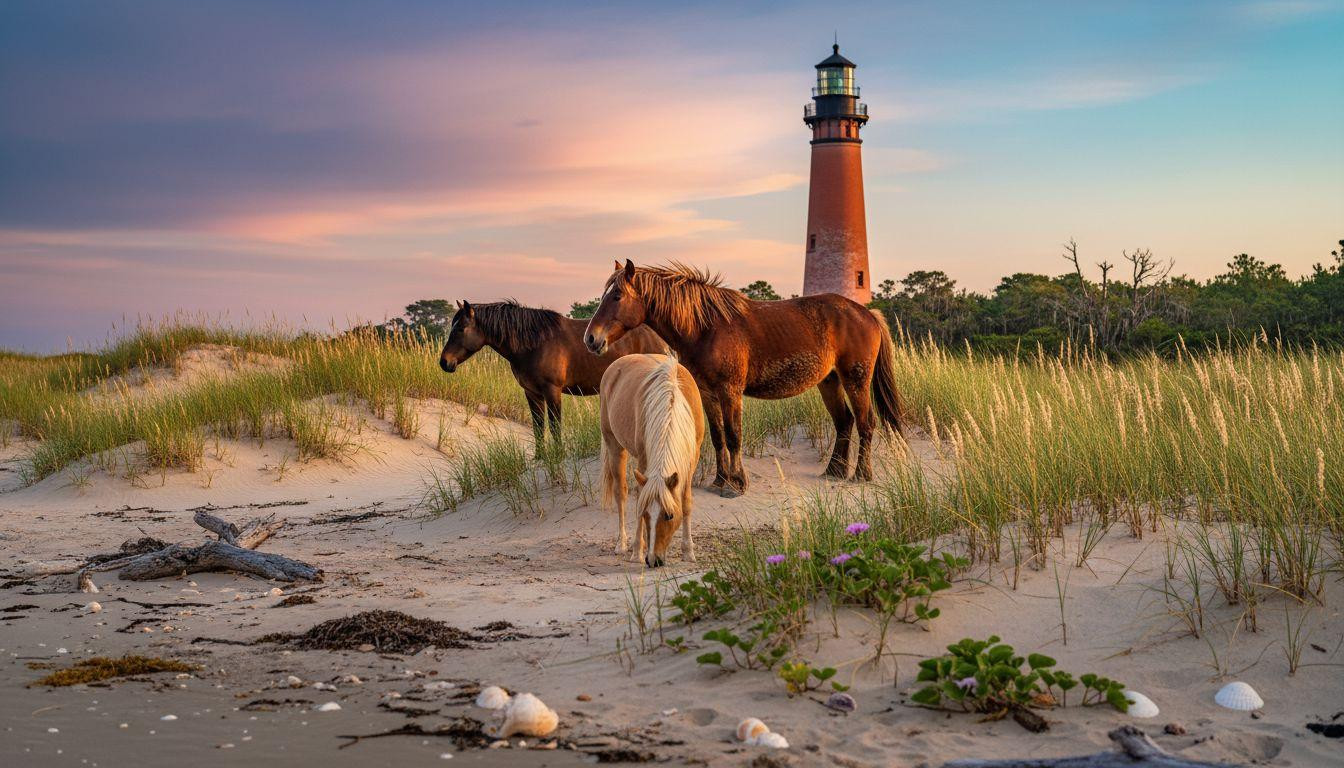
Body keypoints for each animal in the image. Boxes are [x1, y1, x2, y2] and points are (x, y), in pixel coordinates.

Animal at [438, 300, 666, 455]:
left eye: (460, 328)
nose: (444, 362)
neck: (534, 343)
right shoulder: (532, 393)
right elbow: (538, 426)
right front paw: (540, 458)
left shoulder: (552, 390)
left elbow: (555, 426)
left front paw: (558, 455)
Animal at [584, 260, 904, 497]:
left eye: (617, 296)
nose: (591, 339)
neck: (706, 327)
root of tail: (868, 314)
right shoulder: (708, 392)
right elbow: (718, 437)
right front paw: (720, 480)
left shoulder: (730, 391)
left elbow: (734, 435)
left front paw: (737, 483)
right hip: (830, 382)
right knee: (844, 422)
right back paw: (834, 471)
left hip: (855, 380)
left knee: (865, 422)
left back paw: (861, 474)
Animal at [599, 353, 705, 567]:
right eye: (645, 514)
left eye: (669, 515)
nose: (653, 560)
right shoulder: (644, 460)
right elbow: (639, 497)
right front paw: (637, 552)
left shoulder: (691, 460)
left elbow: (686, 502)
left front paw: (688, 551)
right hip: (614, 446)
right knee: (620, 493)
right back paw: (621, 544)